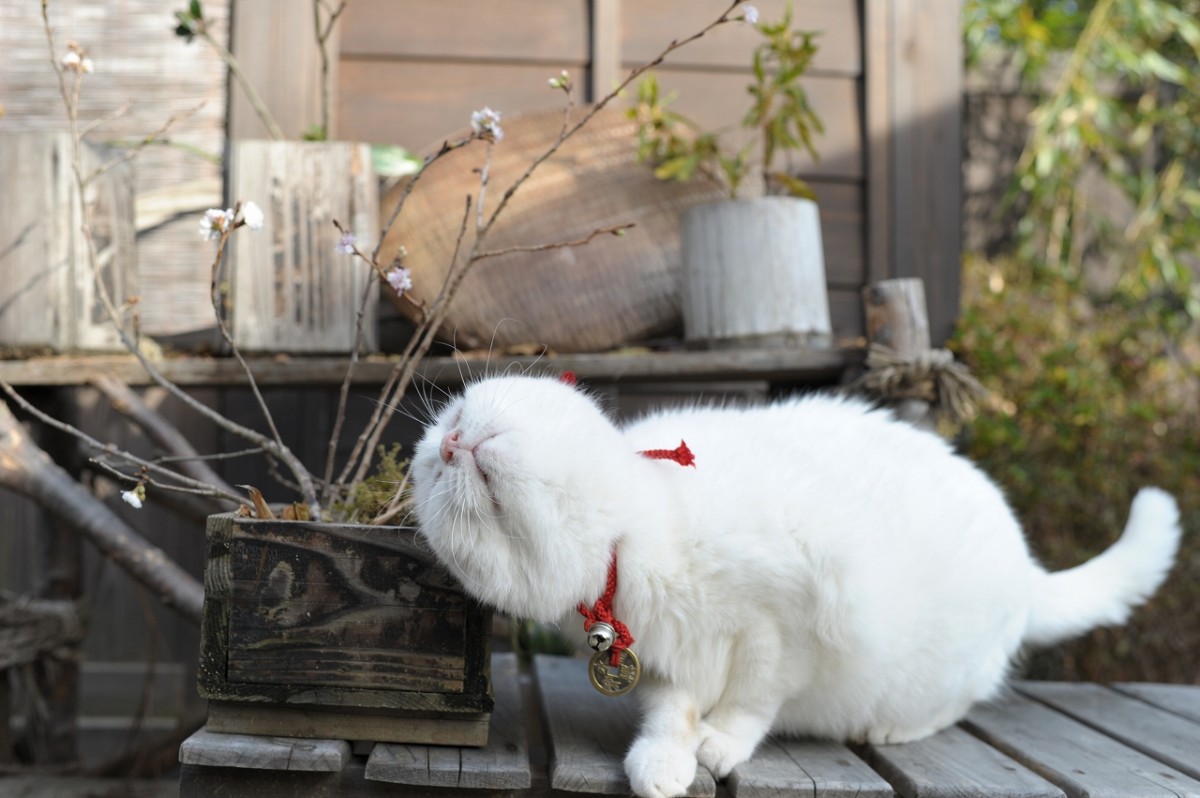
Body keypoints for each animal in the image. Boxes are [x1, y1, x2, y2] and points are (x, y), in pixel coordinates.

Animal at [412, 374, 1180, 796]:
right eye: (443, 454)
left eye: (464, 432)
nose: (449, 444)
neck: (639, 540)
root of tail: (1026, 571)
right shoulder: (664, 661)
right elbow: (670, 713)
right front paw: (663, 762)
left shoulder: (785, 627)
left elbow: (754, 698)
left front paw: (720, 744)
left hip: (942, 663)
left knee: (960, 700)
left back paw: (893, 725)